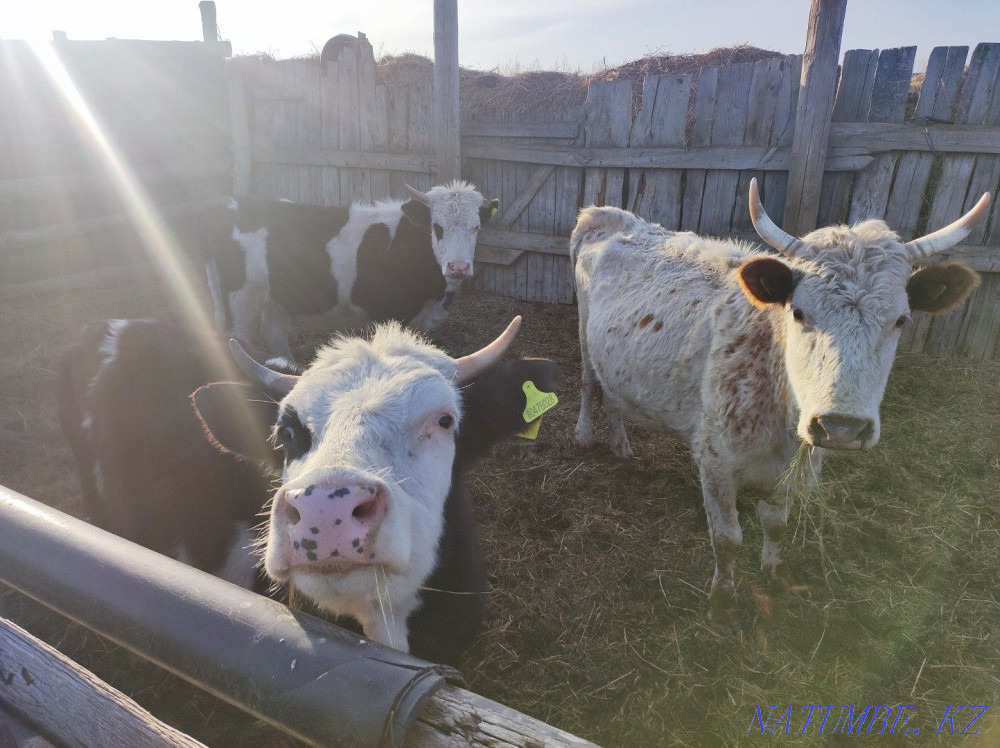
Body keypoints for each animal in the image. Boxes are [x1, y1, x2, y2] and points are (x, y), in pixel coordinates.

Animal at [206, 181, 500, 361]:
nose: (458, 266)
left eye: (476, 227)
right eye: (437, 227)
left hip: (275, 299)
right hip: (241, 303)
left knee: (274, 336)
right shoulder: (389, 313)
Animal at [571, 179, 990, 627]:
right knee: (589, 386)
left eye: (900, 320)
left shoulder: (796, 466)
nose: (841, 426)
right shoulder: (714, 461)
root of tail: (605, 214)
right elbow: (727, 538)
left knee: (613, 398)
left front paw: (774, 574)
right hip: (583, 333)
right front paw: (722, 603)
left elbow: (776, 524)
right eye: (799, 312)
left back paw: (621, 446)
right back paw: (585, 435)